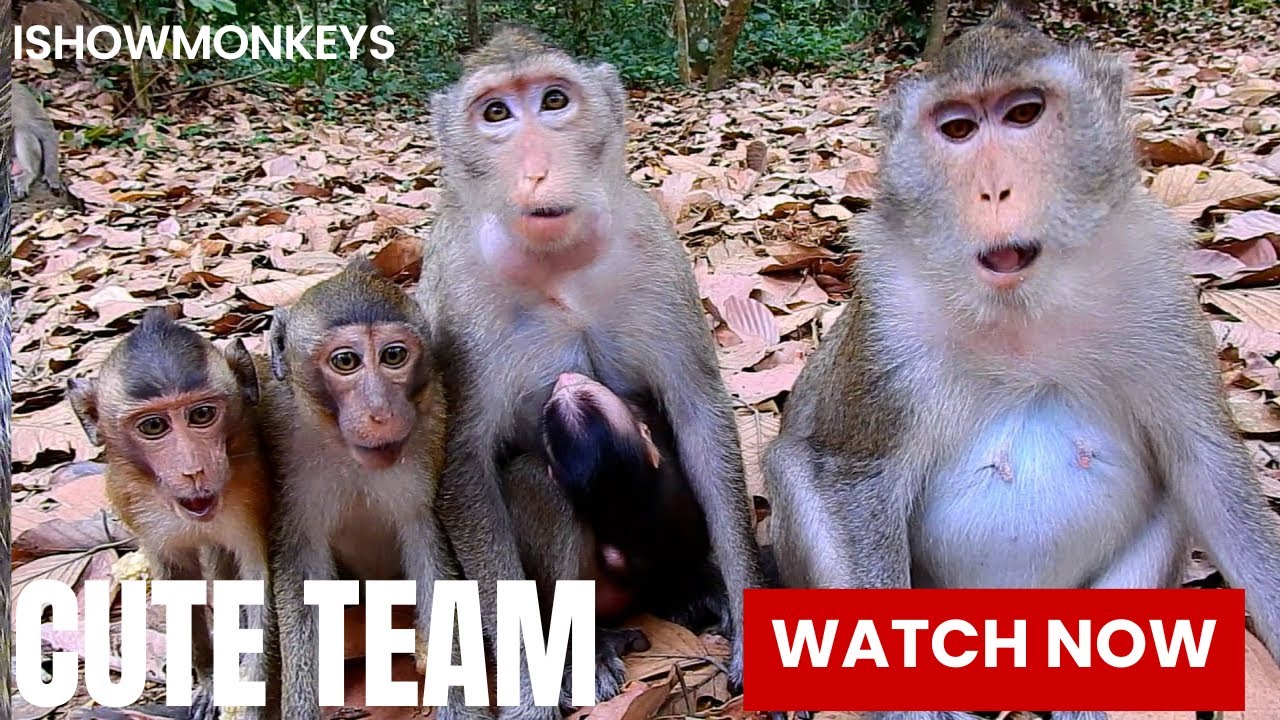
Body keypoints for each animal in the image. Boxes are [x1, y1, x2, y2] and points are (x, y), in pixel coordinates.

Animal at [67, 307, 276, 720]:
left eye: (202, 414)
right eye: (153, 425)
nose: (193, 470)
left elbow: (260, 580)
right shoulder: (132, 499)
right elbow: (179, 578)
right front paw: (210, 680)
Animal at [261, 256, 481, 720]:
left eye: (393, 355)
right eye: (346, 361)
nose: (381, 411)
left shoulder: (432, 429)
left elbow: (428, 548)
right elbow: (300, 569)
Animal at [762, 5, 1280, 720]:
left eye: (1024, 114)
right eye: (957, 128)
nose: (994, 191)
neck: (1022, 314)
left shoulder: (1159, 294)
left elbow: (1207, 467)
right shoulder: (890, 325)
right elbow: (854, 479)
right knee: (795, 471)